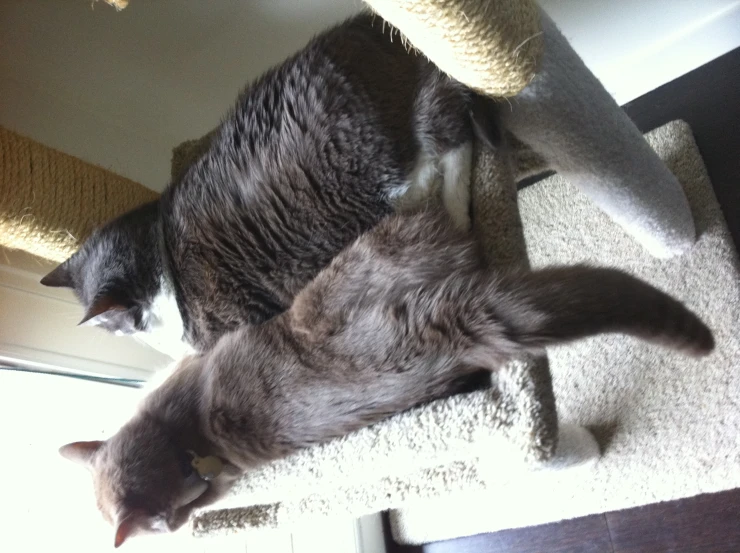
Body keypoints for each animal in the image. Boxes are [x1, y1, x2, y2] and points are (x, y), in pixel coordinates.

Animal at [37, 15, 494, 356]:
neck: (166, 255)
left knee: (451, 143)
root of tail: (370, 28)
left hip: (369, 162)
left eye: (115, 325)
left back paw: (457, 218)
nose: (131, 333)